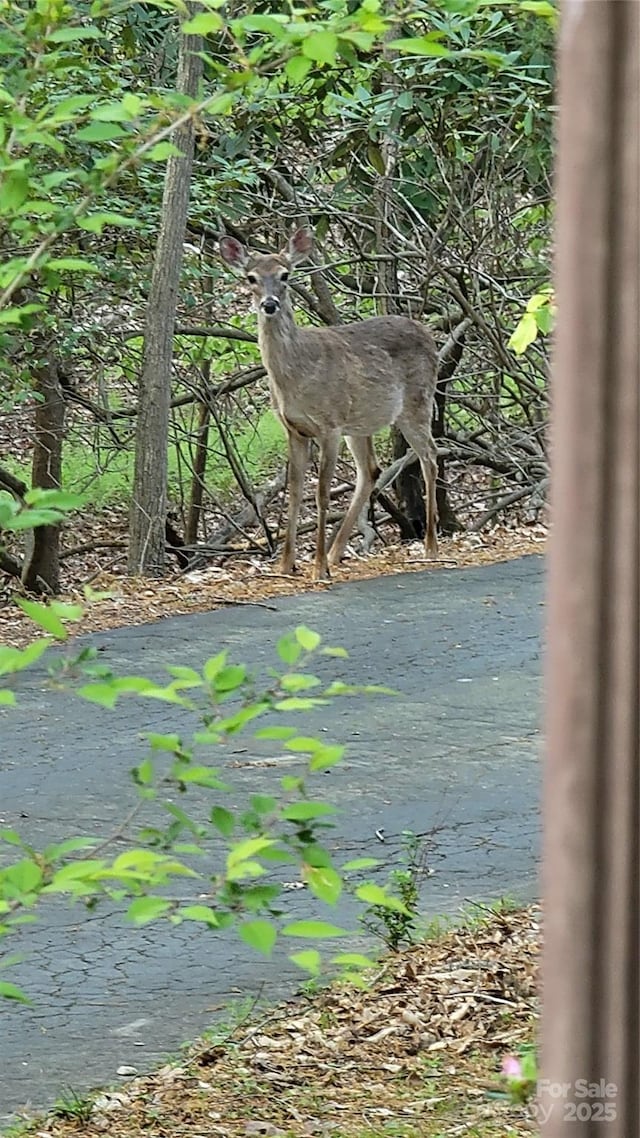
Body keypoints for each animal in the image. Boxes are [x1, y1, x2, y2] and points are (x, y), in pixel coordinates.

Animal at [216, 227, 435, 582]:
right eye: (251, 277)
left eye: (285, 275)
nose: (269, 304)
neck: (295, 376)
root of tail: (427, 332)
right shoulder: (294, 429)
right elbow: (294, 491)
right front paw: (286, 565)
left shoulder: (329, 425)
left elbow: (320, 492)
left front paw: (317, 568)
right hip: (360, 422)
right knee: (371, 469)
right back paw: (336, 552)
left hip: (415, 403)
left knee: (429, 456)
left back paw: (429, 546)